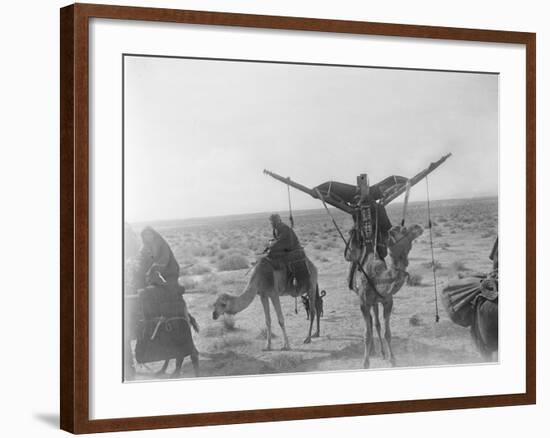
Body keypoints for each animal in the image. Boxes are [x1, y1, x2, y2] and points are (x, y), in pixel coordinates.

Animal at [352, 224, 424, 368]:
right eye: (402, 229)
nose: (418, 227)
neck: (378, 278)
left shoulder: (388, 301)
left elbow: (387, 333)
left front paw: (393, 360)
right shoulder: (363, 303)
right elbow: (367, 334)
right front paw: (365, 363)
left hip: (376, 302)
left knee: (377, 324)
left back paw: (383, 352)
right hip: (369, 302)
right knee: (372, 324)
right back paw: (373, 351)